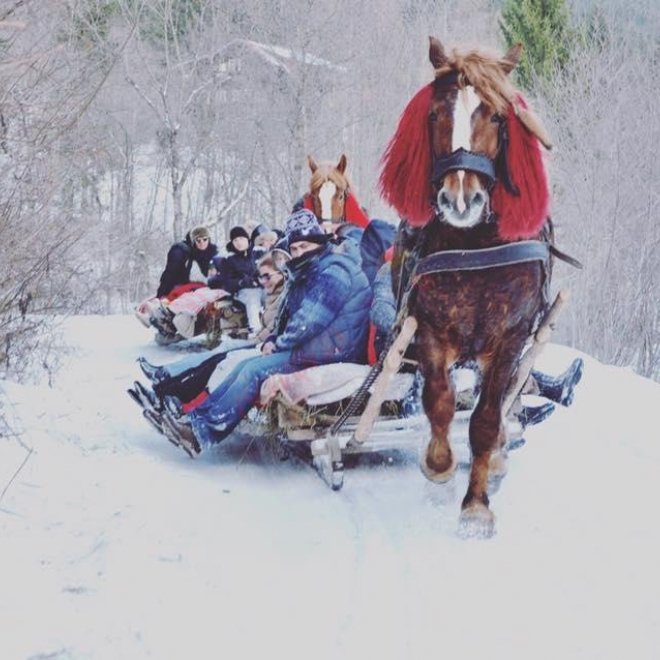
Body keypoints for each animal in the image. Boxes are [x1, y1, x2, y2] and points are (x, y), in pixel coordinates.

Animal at [378, 37, 556, 536]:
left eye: (496, 116)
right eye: (437, 113)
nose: (461, 200)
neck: (474, 245)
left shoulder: (510, 338)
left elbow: (486, 418)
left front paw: (476, 506)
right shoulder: (429, 329)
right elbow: (438, 403)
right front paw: (438, 465)